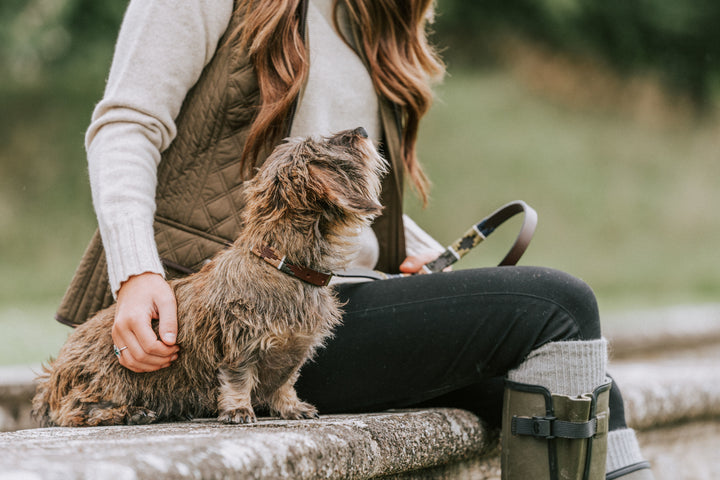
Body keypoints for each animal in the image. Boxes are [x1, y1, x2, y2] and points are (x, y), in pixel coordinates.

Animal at [33, 127, 386, 428]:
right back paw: (130, 413)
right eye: (336, 142)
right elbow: (238, 379)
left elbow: (284, 382)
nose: (362, 131)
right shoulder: (239, 344)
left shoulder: (292, 352)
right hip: (104, 381)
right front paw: (239, 409)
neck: (282, 265)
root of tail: (52, 378)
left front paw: (290, 407)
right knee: (74, 411)